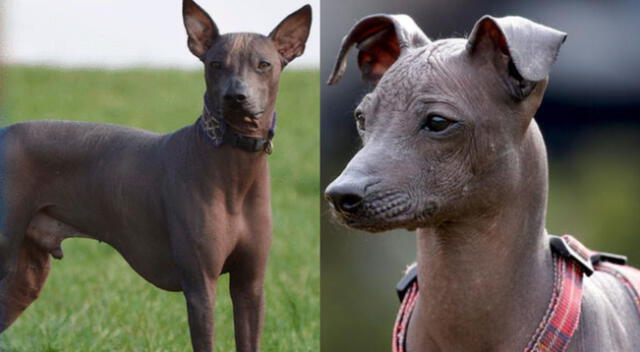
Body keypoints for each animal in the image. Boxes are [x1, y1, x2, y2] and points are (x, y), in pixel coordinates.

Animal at [0, 1, 312, 350]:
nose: (236, 96)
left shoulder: (251, 285)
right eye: (216, 64)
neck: (235, 172)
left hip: (24, 277)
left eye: (264, 65)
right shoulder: (201, 287)